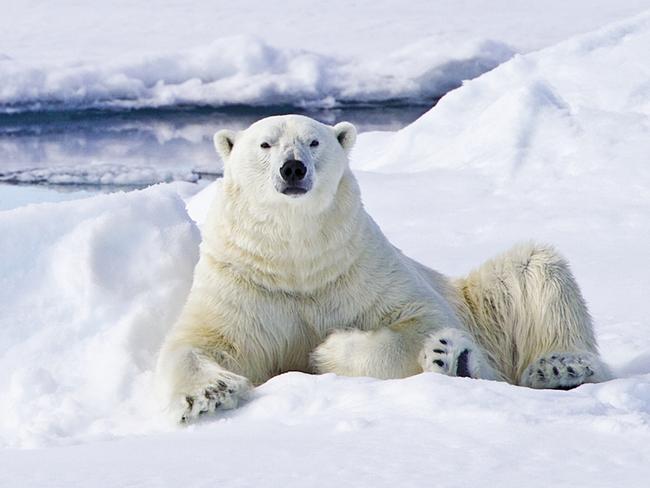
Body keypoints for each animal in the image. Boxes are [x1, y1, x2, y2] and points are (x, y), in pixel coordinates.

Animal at [154, 115, 612, 424]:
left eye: (314, 141)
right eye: (265, 144)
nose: (293, 168)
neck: (298, 261)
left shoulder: (361, 268)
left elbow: (418, 318)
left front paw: (327, 351)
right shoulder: (244, 282)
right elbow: (199, 342)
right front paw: (207, 394)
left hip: (482, 304)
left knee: (534, 266)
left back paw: (549, 365)